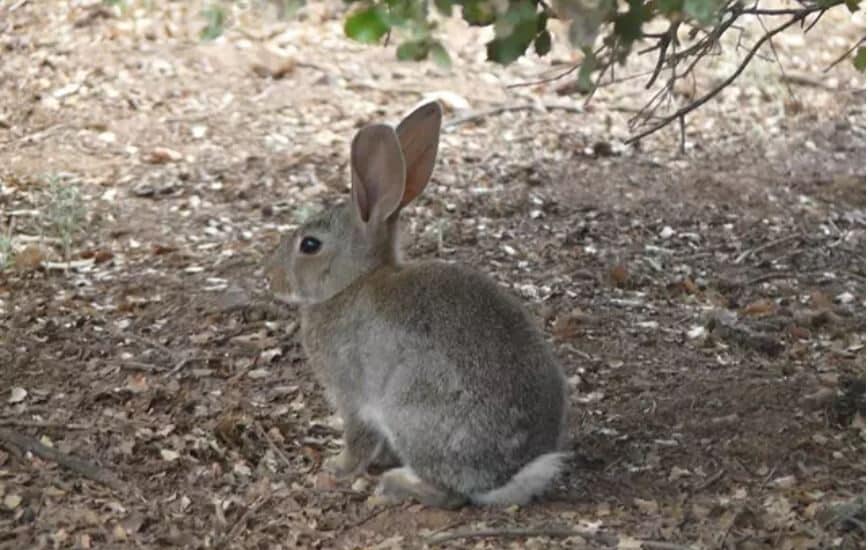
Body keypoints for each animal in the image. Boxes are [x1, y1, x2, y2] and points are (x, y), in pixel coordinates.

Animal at [268, 102, 572, 508]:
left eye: (310, 245)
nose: (271, 279)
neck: (351, 284)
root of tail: (507, 476)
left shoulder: (353, 396)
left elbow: (358, 438)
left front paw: (336, 468)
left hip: (411, 410)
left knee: (449, 494)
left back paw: (395, 484)